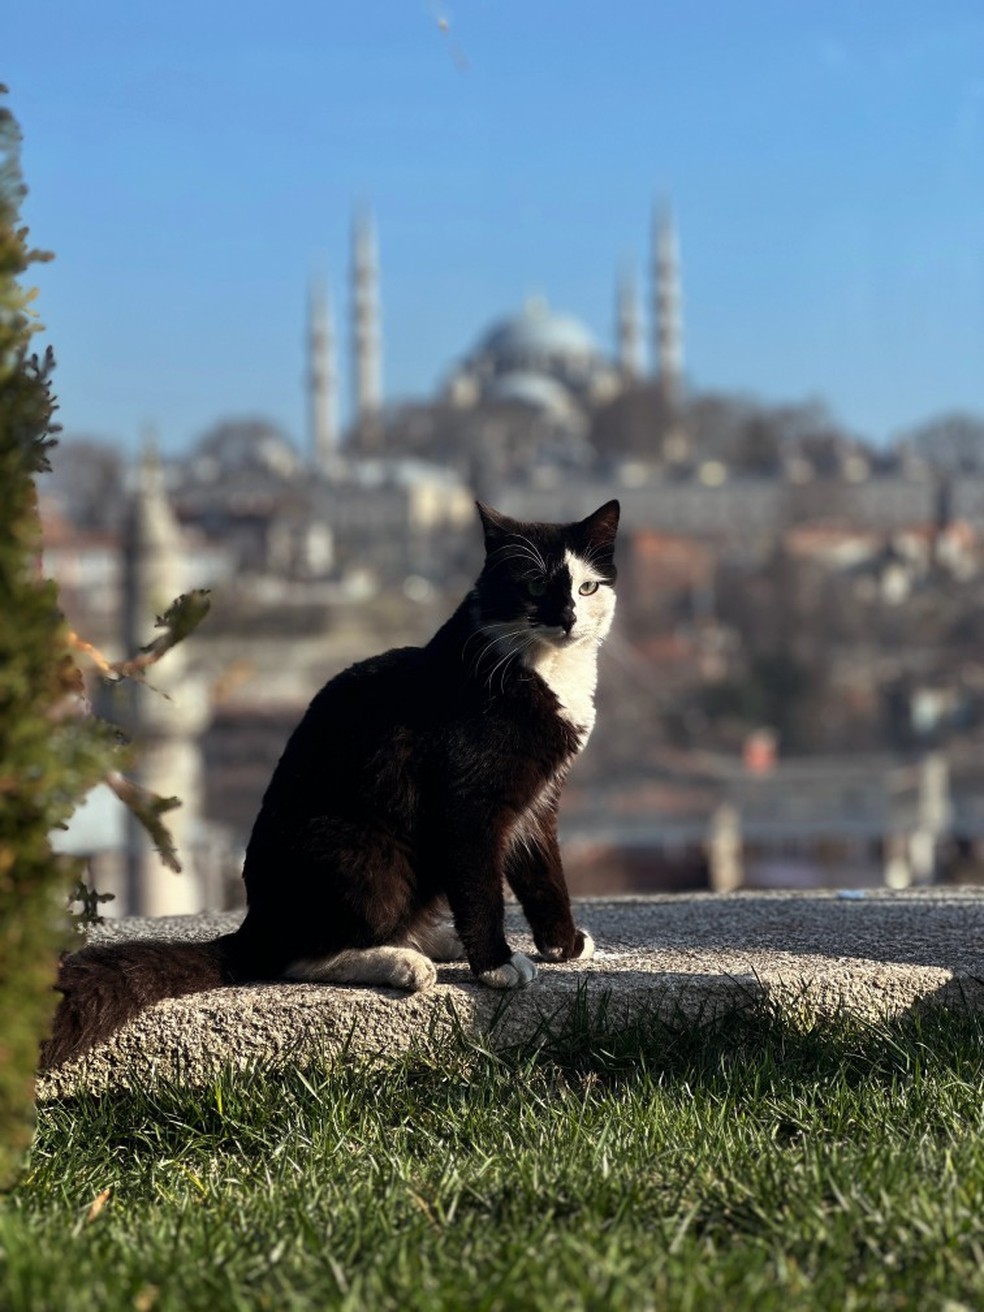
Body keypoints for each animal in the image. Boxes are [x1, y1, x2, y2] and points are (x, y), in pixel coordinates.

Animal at [42, 498, 620, 1069]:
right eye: (535, 586)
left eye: (586, 588)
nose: (567, 617)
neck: (545, 669)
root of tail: (255, 924)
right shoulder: (469, 805)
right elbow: (481, 887)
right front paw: (496, 967)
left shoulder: (538, 799)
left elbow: (544, 873)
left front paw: (563, 945)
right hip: (365, 851)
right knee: (297, 956)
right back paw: (405, 962)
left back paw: (432, 939)